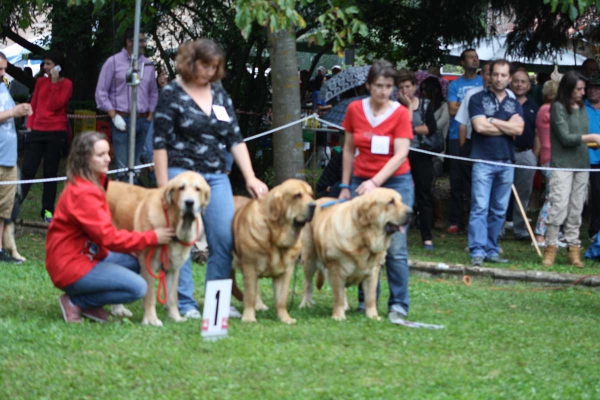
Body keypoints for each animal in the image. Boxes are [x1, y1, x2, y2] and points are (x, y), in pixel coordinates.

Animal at [106, 171, 210, 324]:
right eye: (181, 188)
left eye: (198, 189)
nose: (189, 202)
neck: (174, 224)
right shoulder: (148, 264)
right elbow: (150, 296)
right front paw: (151, 320)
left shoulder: (173, 268)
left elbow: (172, 297)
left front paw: (175, 317)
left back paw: (118, 309)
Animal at [232, 180, 316, 324]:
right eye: (297, 195)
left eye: (311, 195)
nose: (313, 205)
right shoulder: (250, 267)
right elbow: (250, 296)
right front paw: (249, 318)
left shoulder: (286, 272)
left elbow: (282, 298)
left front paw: (285, 318)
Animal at [300, 190, 412, 322]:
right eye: (391, 202)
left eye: (401, 200)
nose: (411, 212)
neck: (364, 238)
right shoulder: (336, 270)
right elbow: (338, 296)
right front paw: (338, 316)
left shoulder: (373, 272)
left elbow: (370, 297)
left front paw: (373, 316)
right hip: (309, 259)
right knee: (307, 283)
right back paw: (306, 303)